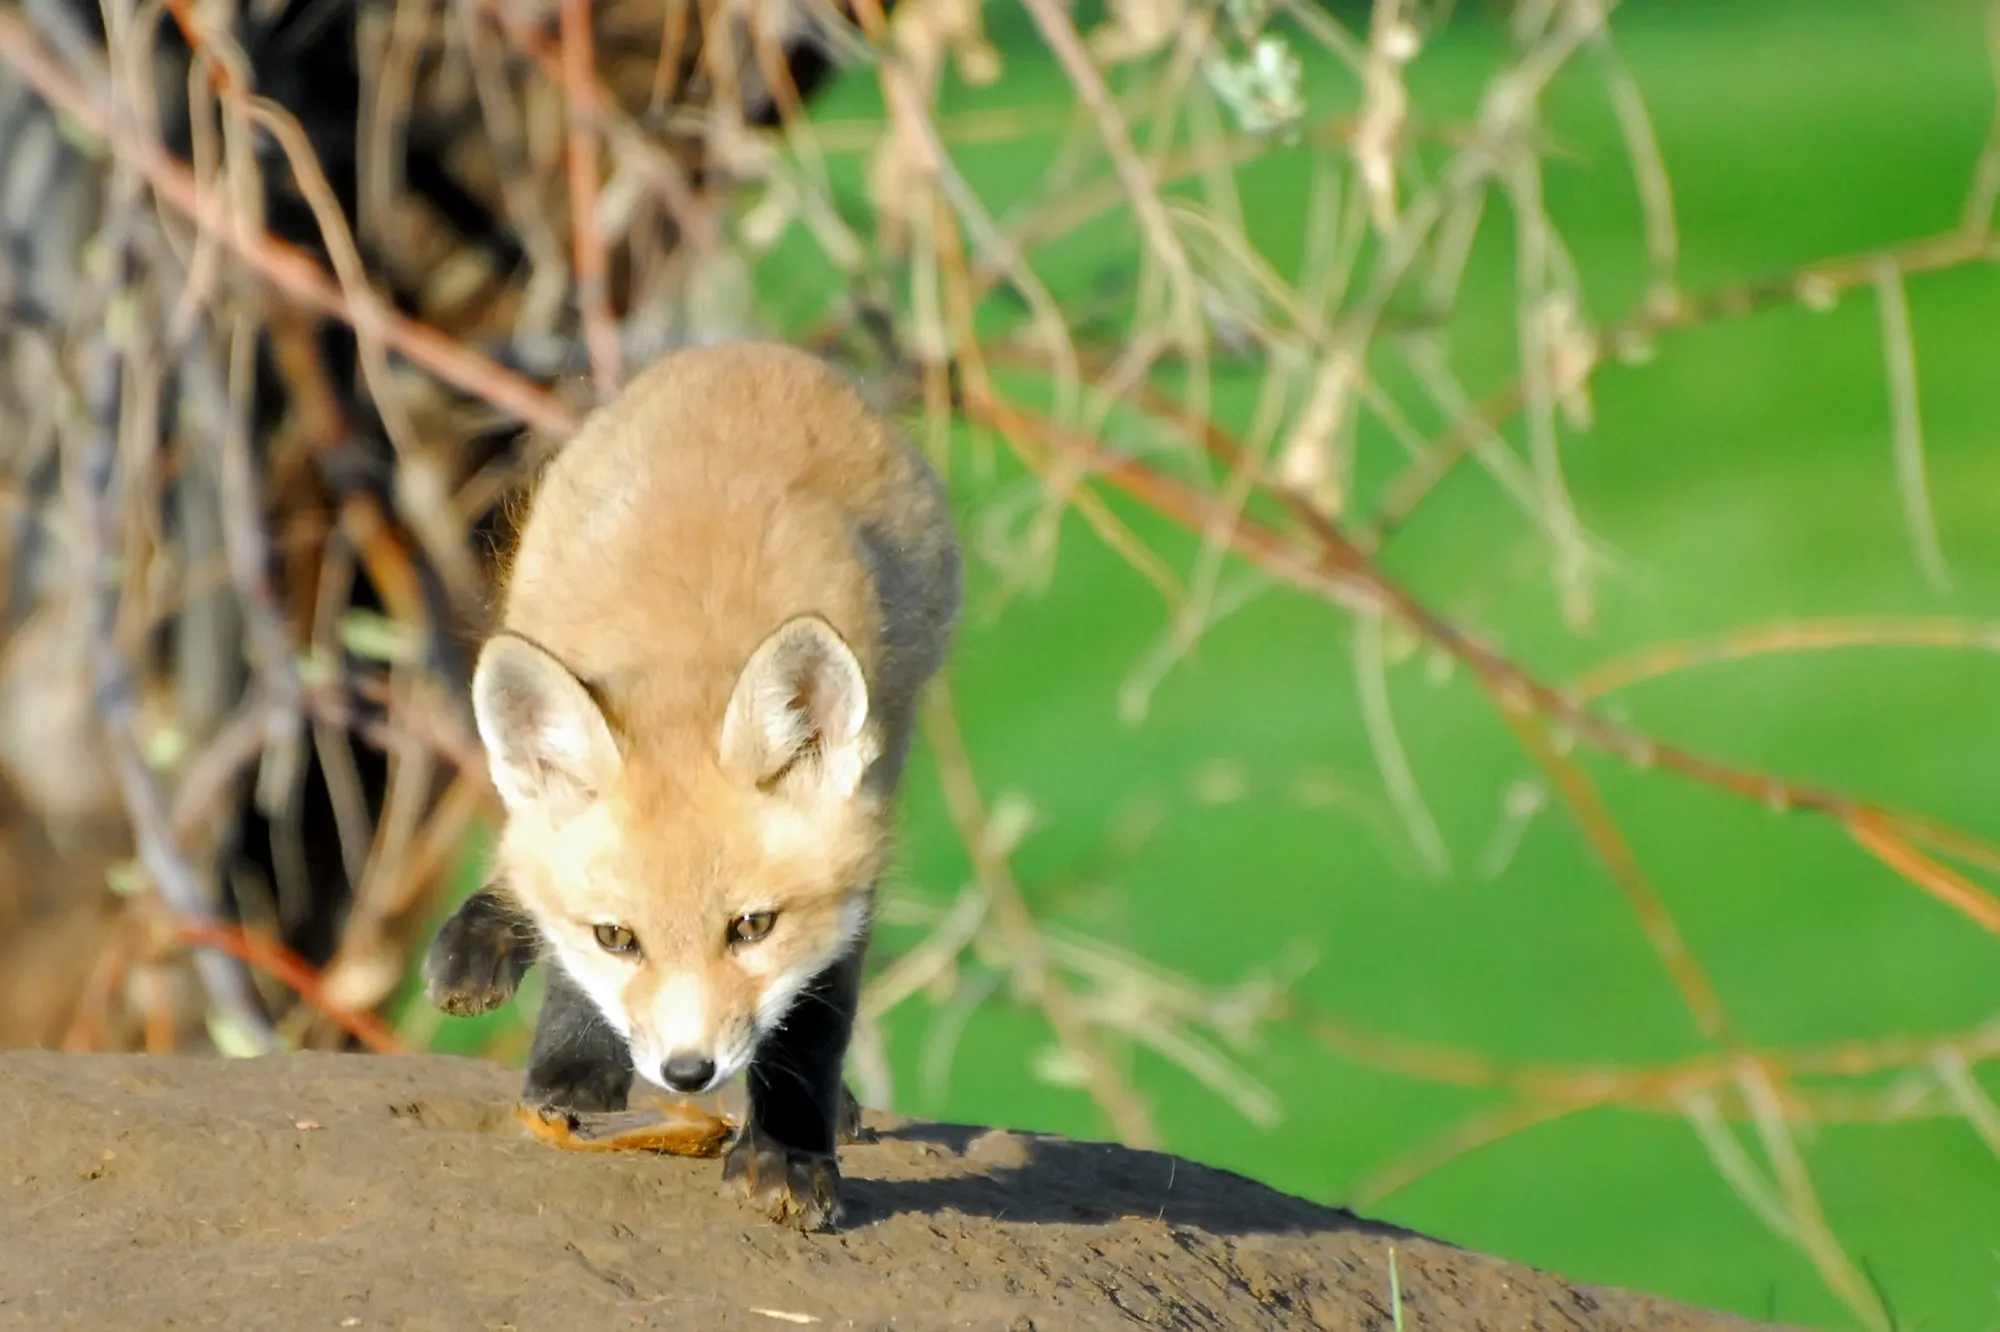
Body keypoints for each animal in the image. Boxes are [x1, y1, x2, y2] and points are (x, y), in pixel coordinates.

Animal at [422, 341, 960, 1231]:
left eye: (752, 927)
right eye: (618, 937)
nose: (685, 1073)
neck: (689, 648)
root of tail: (749, 351)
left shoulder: (859, 838)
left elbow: (815, 1017)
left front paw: (788, 1150)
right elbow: (572, 959)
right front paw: (572, 1068)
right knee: (525, 859)